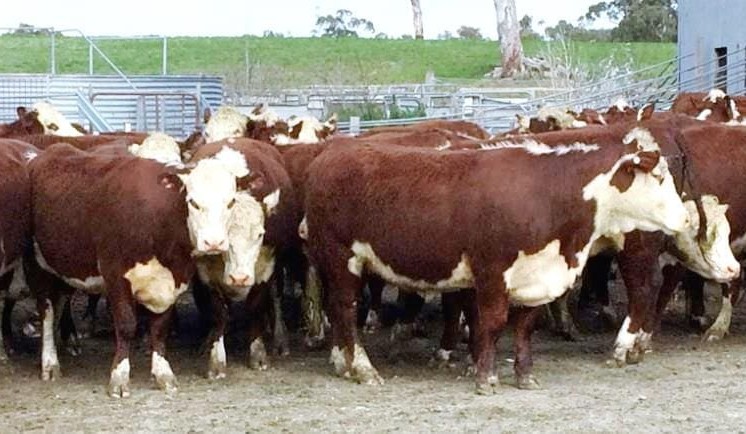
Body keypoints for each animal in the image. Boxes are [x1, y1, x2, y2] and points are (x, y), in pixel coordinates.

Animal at [27, 143, 253, 397]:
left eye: (231, 202)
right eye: (193, 202)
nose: (214, 243)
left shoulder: (172, 281)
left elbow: (160, 328)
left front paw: (163, 374)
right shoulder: (116, 276)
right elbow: (126, 325)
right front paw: (119, 378)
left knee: (60, 302)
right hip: (36, 266)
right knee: (46, 312)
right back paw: (50, 362)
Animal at [303, 129, 691, 392]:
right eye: (658, 178)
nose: (686, 218)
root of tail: (333, 152)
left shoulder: (535, 276)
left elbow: (523, 327)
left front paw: (524, 375)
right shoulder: (492, 270)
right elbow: (491, 322)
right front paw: (485, 377)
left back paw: (343, 363)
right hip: (341, 259)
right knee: (346, 309)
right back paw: (362, 368)